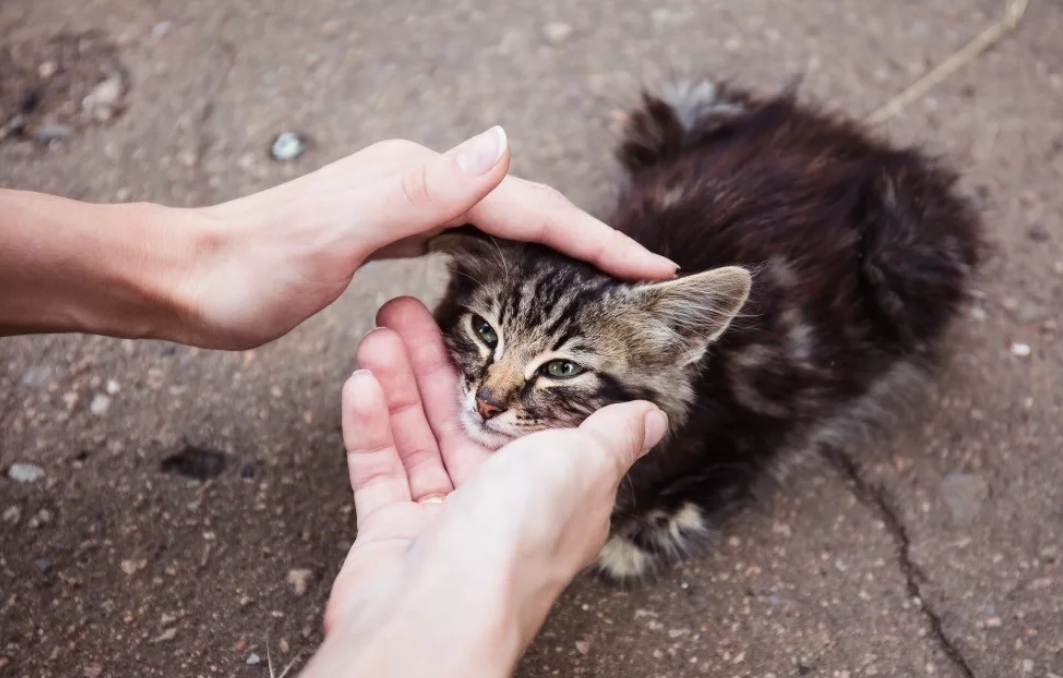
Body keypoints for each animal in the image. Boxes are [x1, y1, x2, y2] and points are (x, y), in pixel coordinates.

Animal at [427, 78, 982, 578]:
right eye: (485, 332)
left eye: (562, 369)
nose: (487, 403)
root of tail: (853, 144)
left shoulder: (758, 418)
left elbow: (733, 471)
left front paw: (645, 528)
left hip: (904, 255)